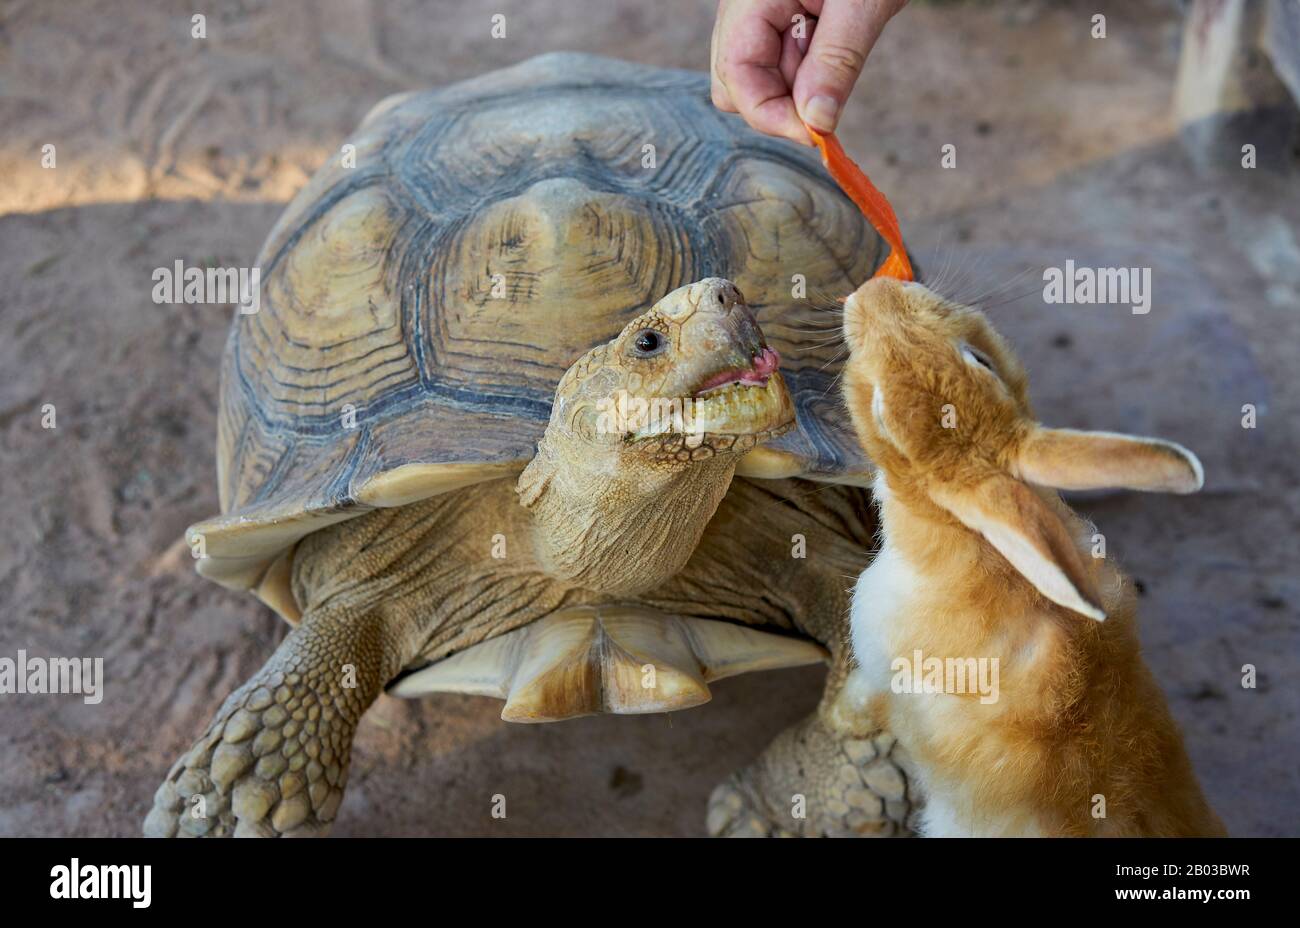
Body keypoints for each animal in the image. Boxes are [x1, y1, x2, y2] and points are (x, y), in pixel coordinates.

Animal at [837, 276, 1222, 837]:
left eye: (883, 415)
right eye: (979, 358)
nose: (873, 290)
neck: (989, 550)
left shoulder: (879, 665)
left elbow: (867, 698)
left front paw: (840, 717)